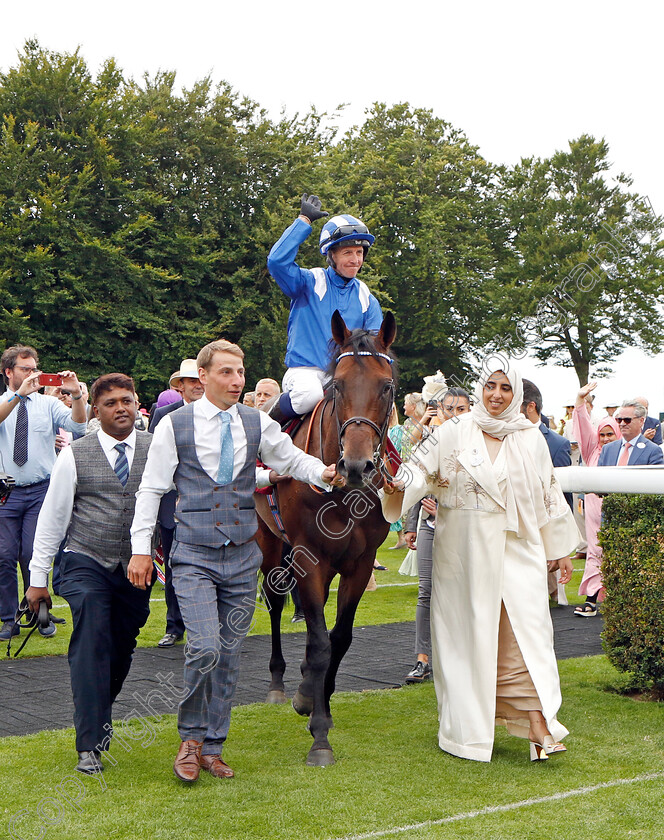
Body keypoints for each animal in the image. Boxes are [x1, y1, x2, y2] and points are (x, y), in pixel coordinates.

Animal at [256, 310, 396, 768]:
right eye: (337, 386)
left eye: (386, 386)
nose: (356, 466)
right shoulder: (309, 557)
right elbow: (318, 642)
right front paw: (318, 734)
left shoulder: (360, 563)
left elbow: (339, 638)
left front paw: (319, 701)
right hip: (270, 544)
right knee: (276, 602)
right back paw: (280, 683)